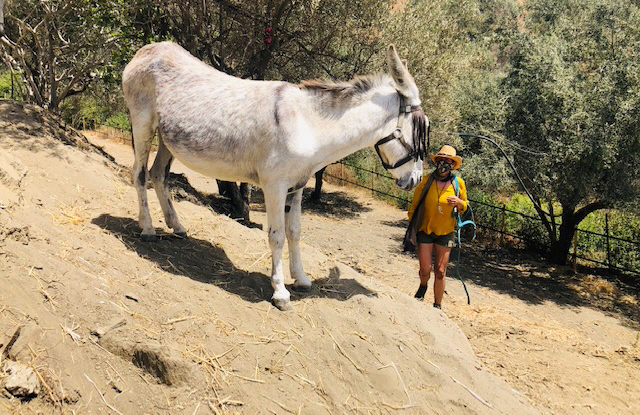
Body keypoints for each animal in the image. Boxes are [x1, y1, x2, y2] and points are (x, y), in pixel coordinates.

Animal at [122, 42, 428, 310]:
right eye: (422, 128)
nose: (414, 180)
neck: (309, 124)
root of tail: (150, 49)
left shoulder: (298, 186)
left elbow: (295, 231)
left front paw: (301, 279)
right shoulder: (275, 186)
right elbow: (277, 235)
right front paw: (280, 292)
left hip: (167, 137)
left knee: (158, 174)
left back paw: (177, 226)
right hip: (143, 123)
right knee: (139, 174)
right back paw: (148, 229)